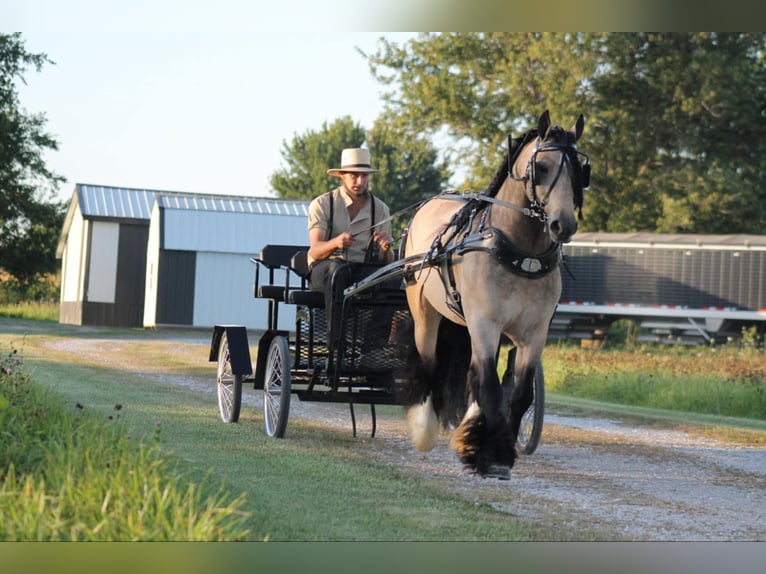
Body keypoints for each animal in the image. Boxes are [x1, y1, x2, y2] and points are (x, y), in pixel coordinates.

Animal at [400, 111, 592, 476]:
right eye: (540, 167)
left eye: (579, 170)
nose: (563, 225)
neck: (521, 253)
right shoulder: (485, 323)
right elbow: (489, 385)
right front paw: (488, 455)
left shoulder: (533, 334)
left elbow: (518, 394)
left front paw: (497, 449)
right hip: (424, 312)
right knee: (429, 362)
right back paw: (423, 429)